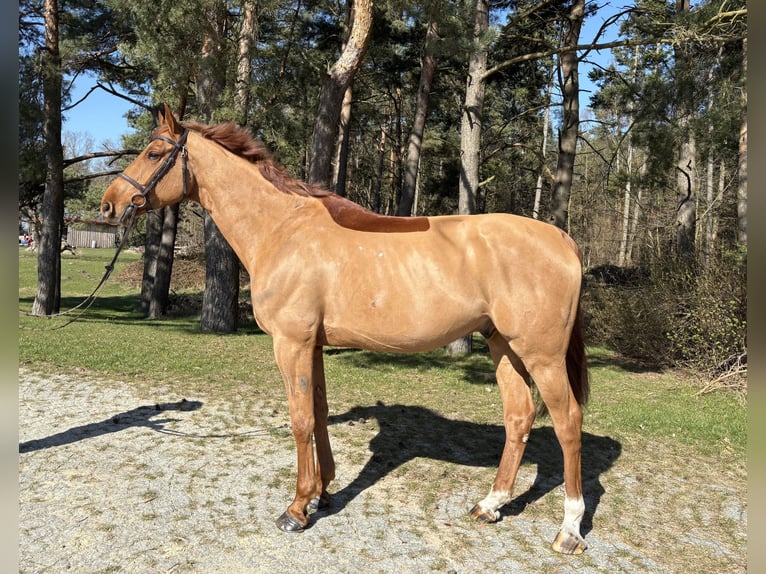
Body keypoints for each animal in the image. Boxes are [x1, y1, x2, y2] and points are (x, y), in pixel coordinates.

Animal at [100, 104, 590, 554]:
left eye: (154, 152)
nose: (110, 204)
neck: (281, 229)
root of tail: (562, 239)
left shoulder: (291, 344)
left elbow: (299, 420)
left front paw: (297, 509)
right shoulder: (312, 346)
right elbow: (318, 413)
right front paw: (323, 493)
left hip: (541, 355)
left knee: (567, 421)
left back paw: (569, 530)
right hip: (503, 346)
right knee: (519, 416)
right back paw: (491, 504)